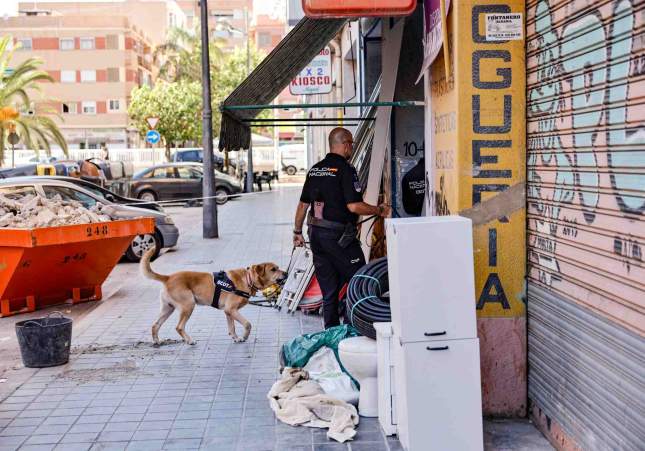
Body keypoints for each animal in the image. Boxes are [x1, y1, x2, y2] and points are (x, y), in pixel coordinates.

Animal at [142, 249, 286, 344]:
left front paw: (235, 337)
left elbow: (232, 327)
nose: (286, 273)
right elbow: (247, 324)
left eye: (278, 267)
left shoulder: (228, 311)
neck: (247, 279)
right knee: (179, 327)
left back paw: (156, 341)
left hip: (168, 309)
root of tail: (168, 277)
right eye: (273, 269)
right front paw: (244, 336)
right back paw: (189, 340)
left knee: (155, 325)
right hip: (188, 306)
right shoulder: (231, 310)